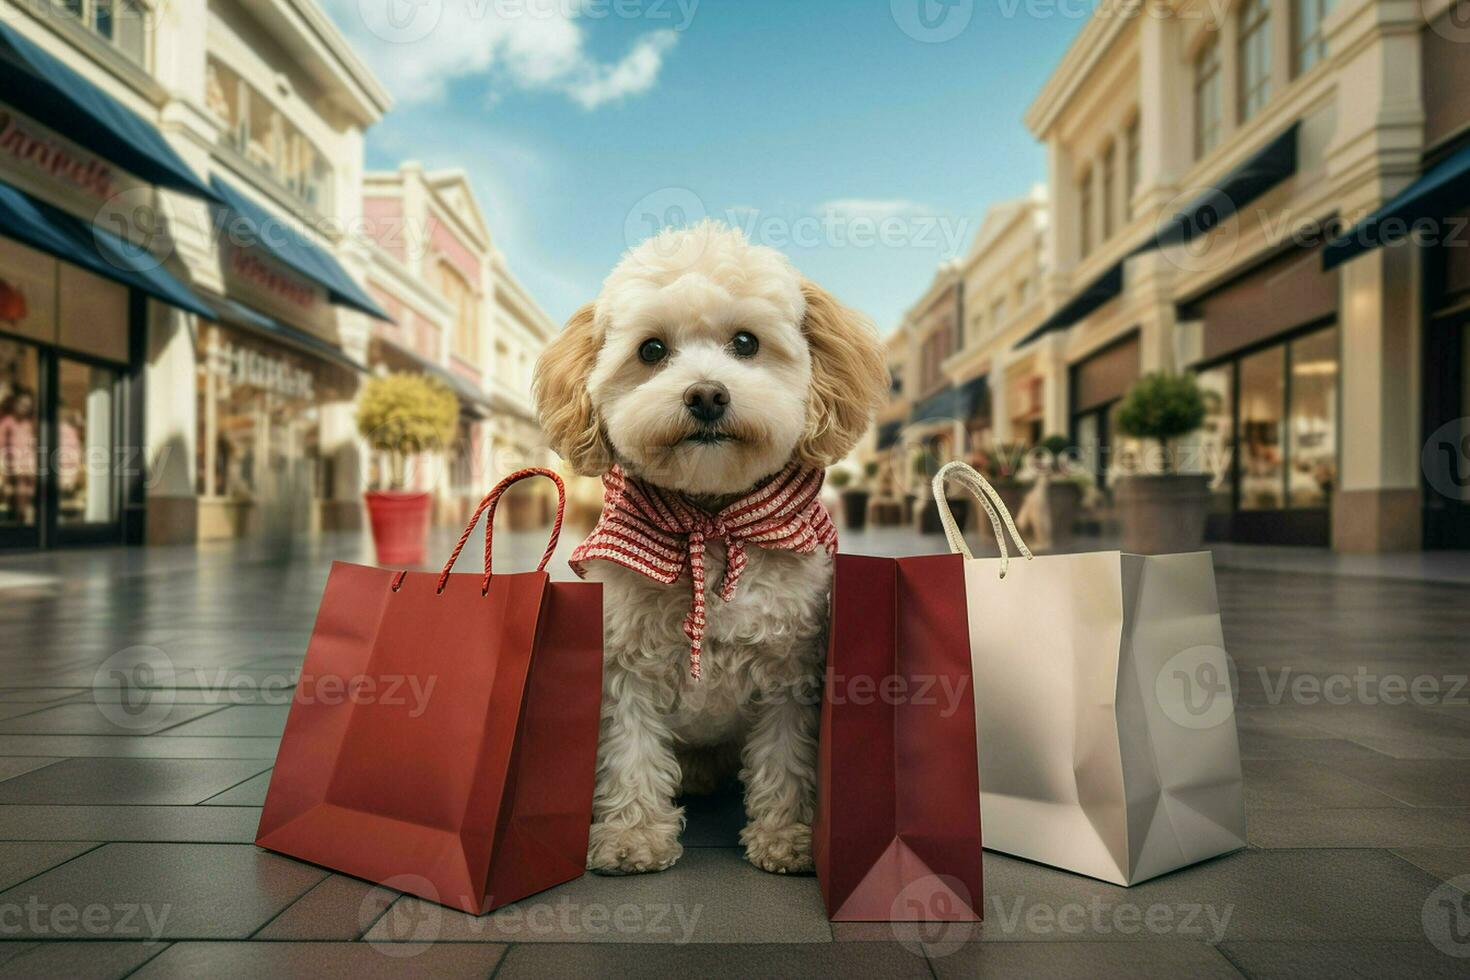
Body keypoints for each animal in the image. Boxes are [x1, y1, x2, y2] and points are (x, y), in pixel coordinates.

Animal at [538, 221, 887, 875]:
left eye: (745, 342)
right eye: (651, 351)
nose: (705, 395)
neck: (711, 524)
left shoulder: (791, 674)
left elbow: (785, 760)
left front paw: (787, 836)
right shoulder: (623, 670)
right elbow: (630, 754)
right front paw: (632, 837)